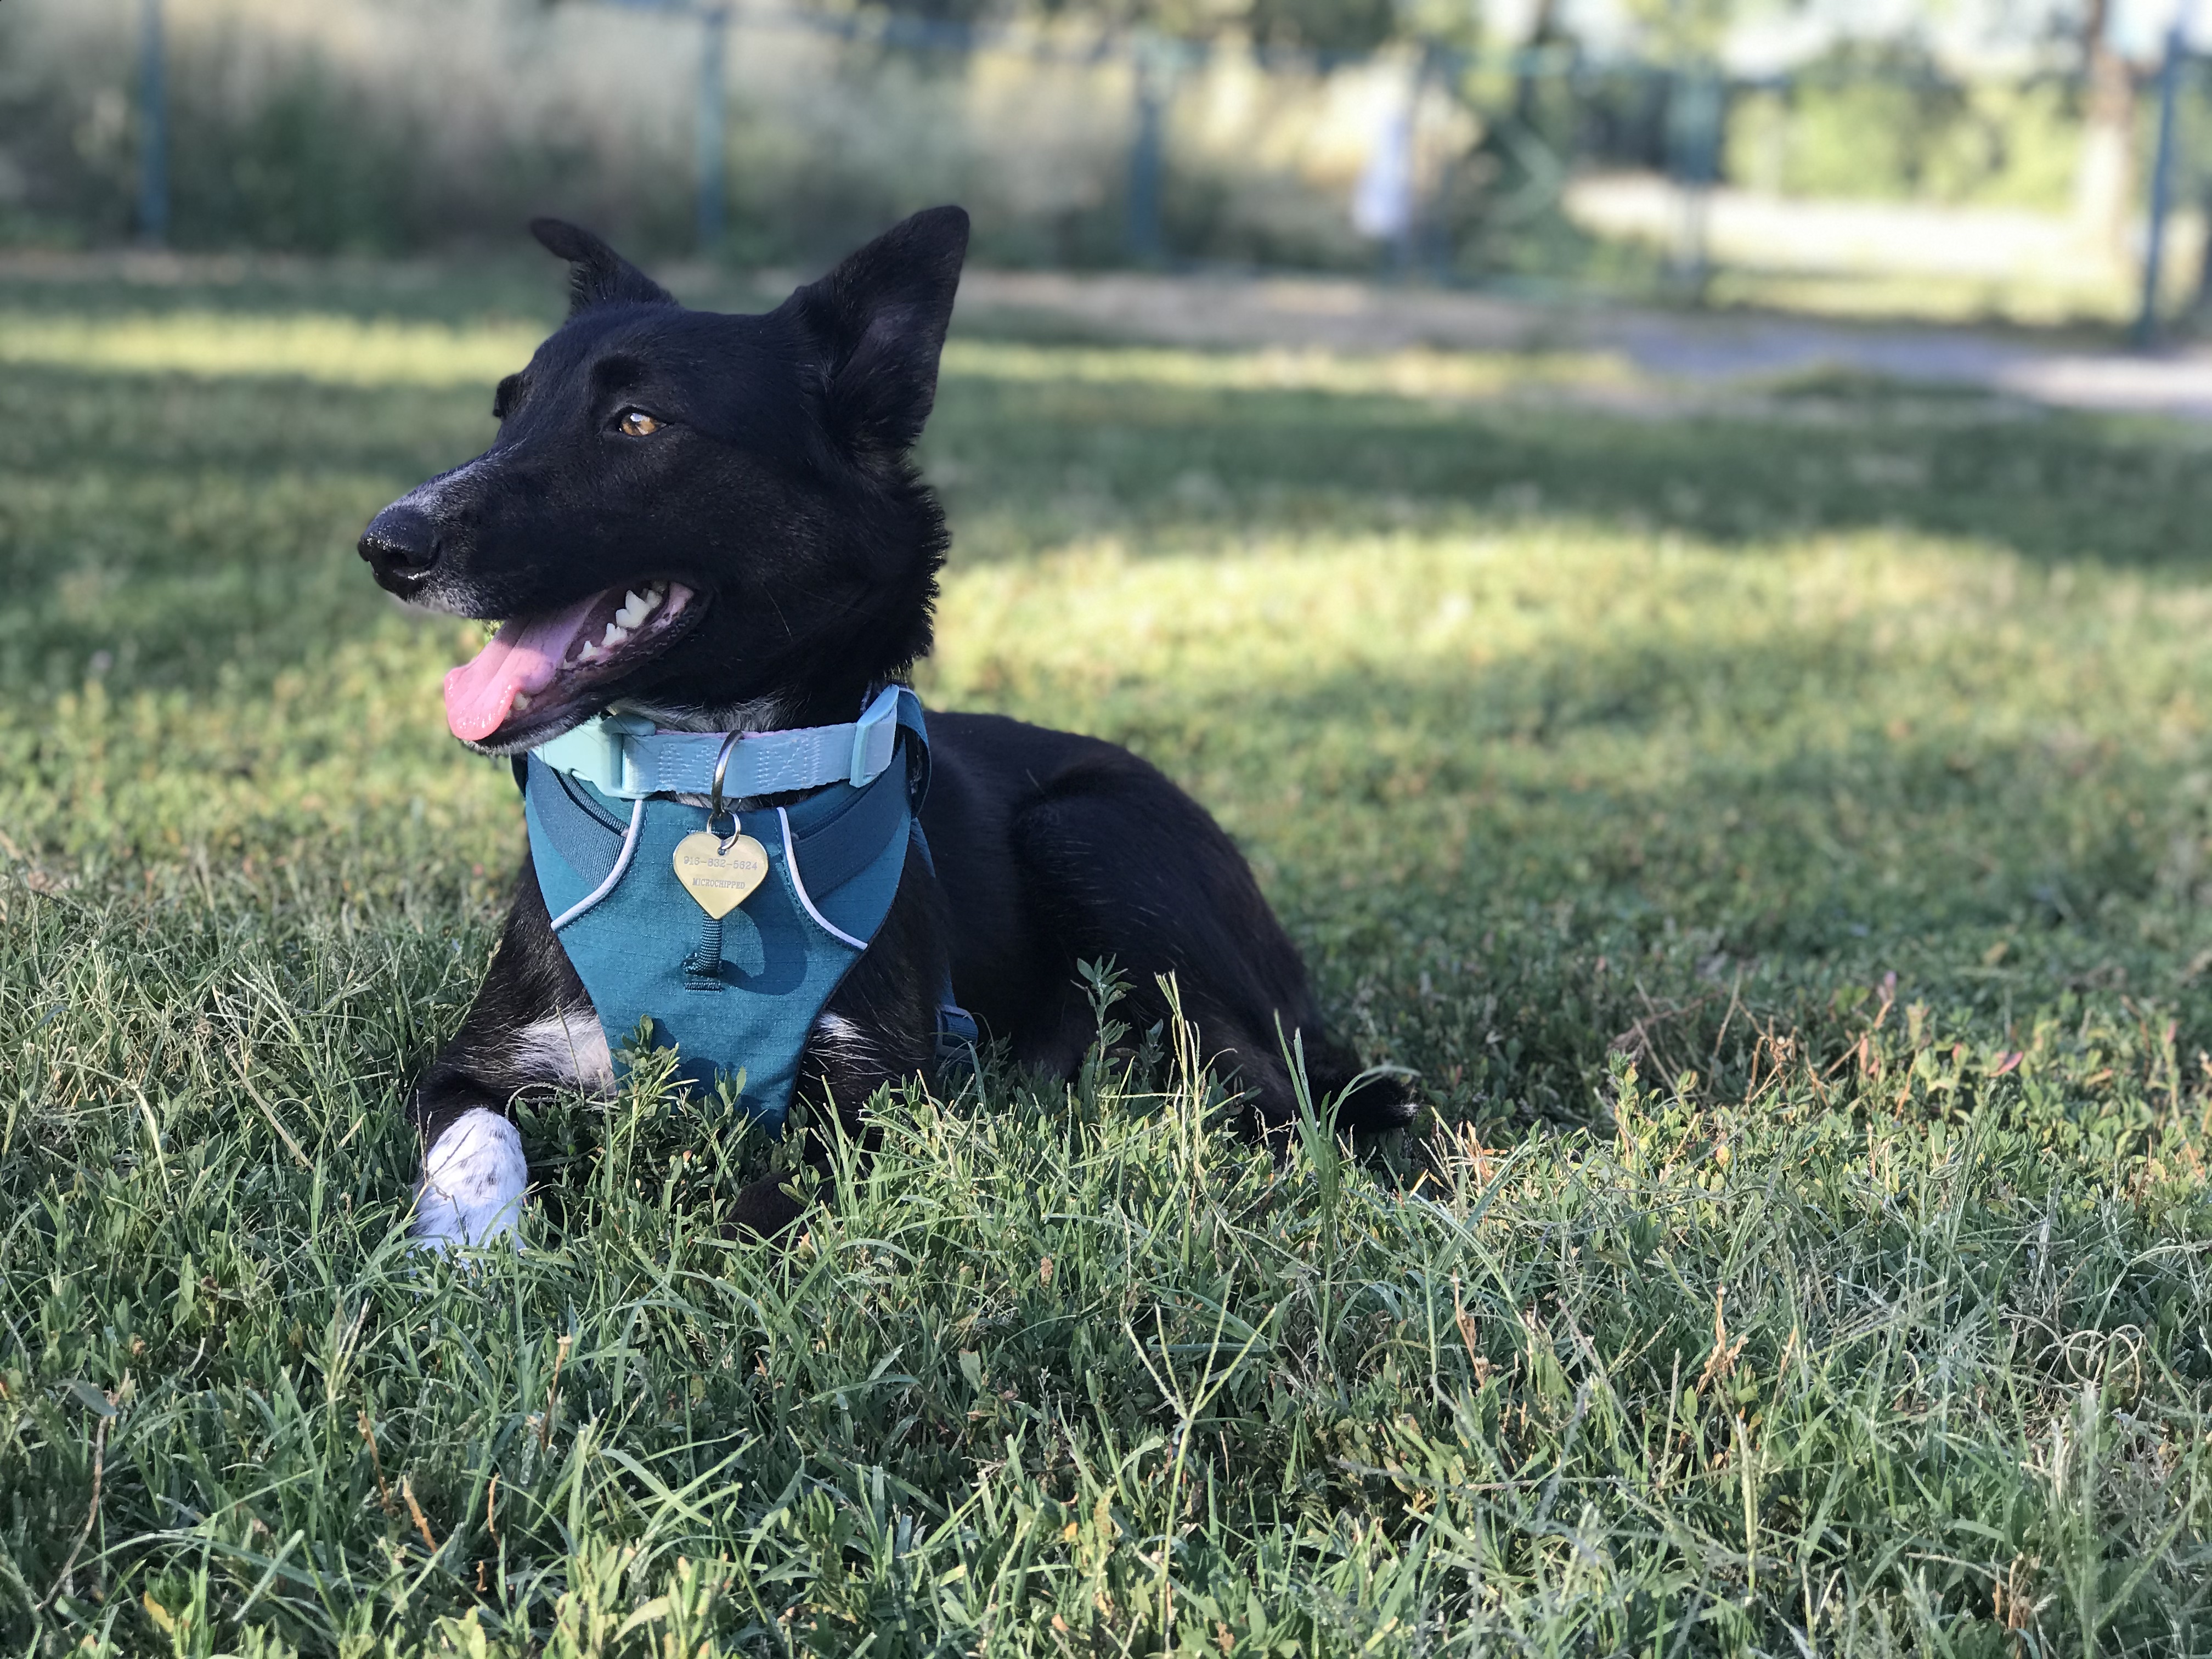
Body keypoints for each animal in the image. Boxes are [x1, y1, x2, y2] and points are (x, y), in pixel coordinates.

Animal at [357, 206, 1412, 1250]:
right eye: (508, 412)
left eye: (638, 422)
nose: (386, 545)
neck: (710, 780)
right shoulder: (481, 1061)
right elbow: (475, 1142)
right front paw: (466, 1254)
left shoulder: (880, 1099)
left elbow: (754, 1216)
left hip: (1090, 832)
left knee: (1264, 1088)